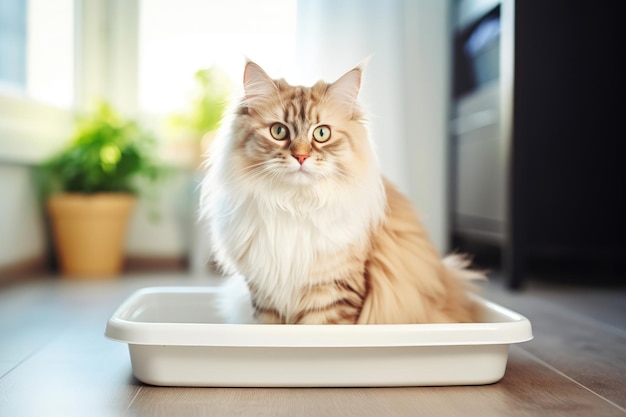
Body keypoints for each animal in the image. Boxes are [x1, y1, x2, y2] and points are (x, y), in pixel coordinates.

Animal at [200, 60, 482, 324]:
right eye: (278, 131)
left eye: (321, 133)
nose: (301, 156)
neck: (294, 205)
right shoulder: (265, 296)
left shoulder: (332, 293)